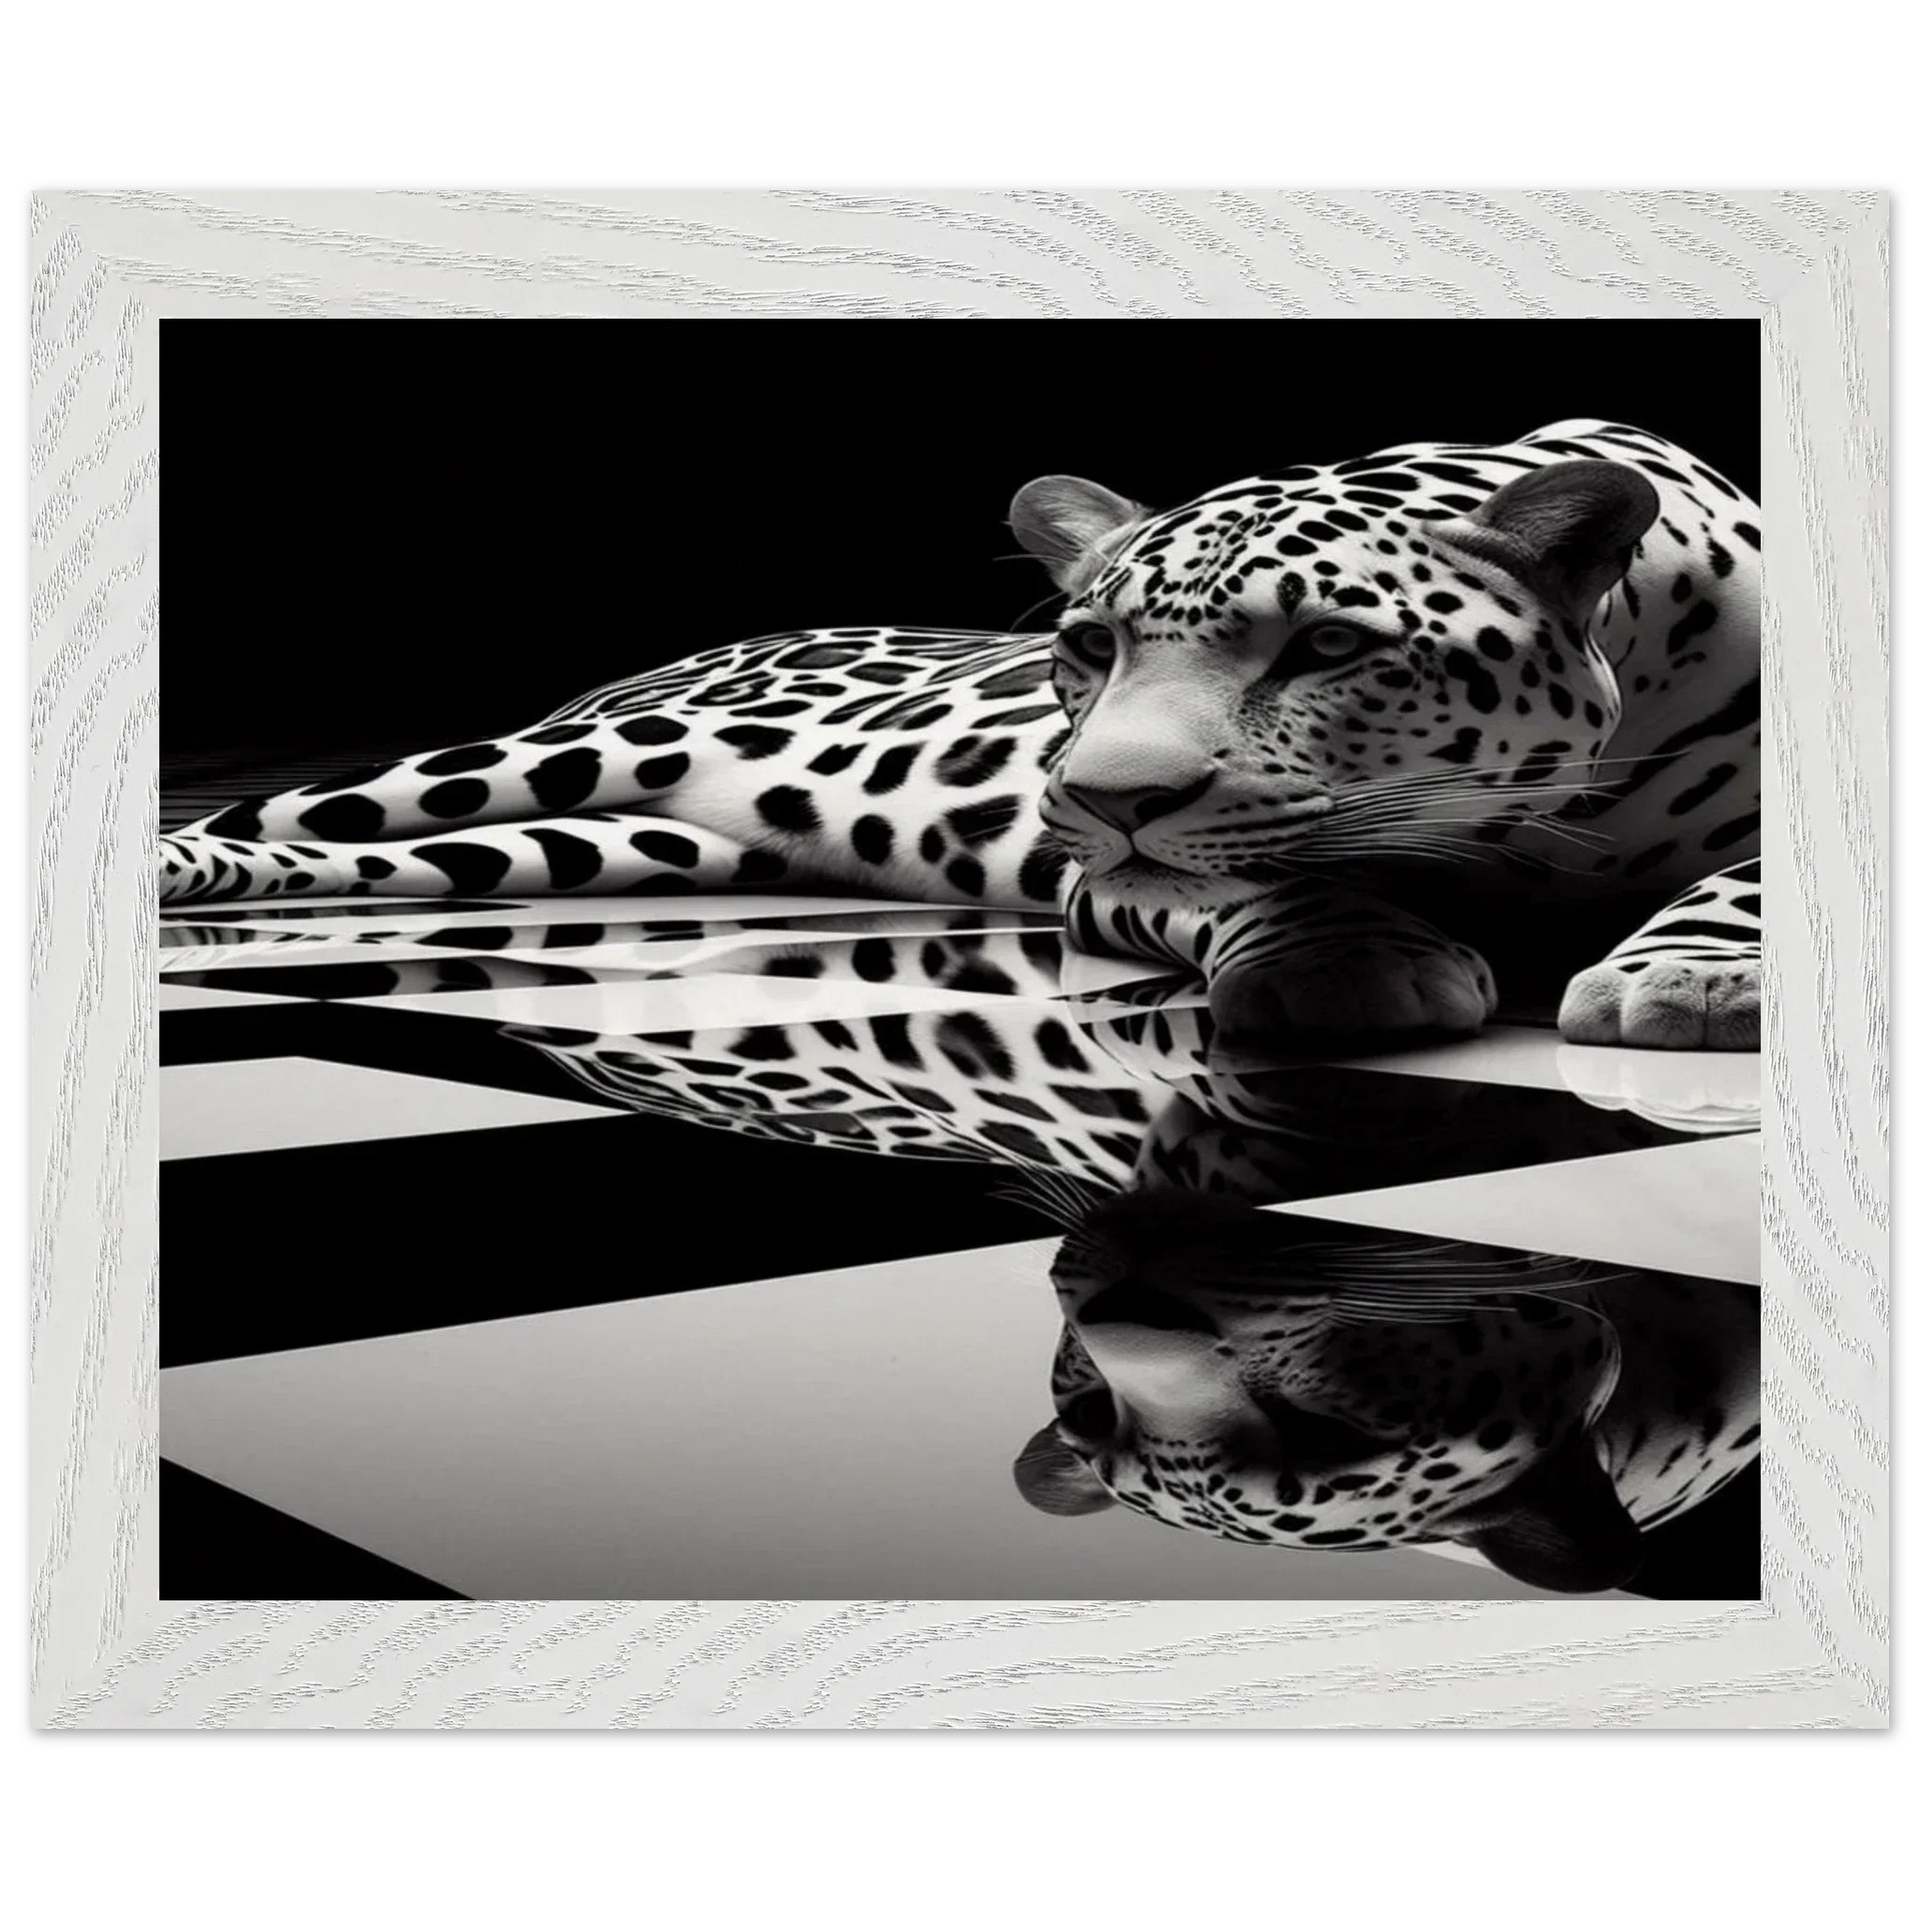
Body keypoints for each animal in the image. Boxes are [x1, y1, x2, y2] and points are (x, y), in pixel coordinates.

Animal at [156, 418, 1762, 1053]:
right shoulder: (1116, 882)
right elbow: (1265, 876)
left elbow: (1748, 877)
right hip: (547, 760)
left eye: (1327, 648)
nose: (1099, 796)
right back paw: (182, 876)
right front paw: (1350, 962)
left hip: (595, 846)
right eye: (1092, 647)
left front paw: (1682, 979)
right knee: (272, 815)